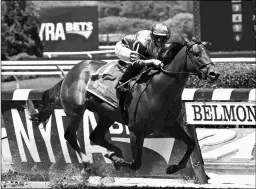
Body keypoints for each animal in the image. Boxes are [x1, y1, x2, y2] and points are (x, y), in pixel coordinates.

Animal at [28, 37, 220, 184]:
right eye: (196, 54)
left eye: (208, 53)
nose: (214, 74)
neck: (158, 88)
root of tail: (71, 71)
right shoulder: (136, 130)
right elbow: (136, 163)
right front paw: (118, 160)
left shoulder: (169, 125)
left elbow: (191, 143)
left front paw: (174, 167)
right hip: (76, 111)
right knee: (70, 135)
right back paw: (88, 166)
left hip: (106, 115)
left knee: (95, 136)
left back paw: (113, 152)